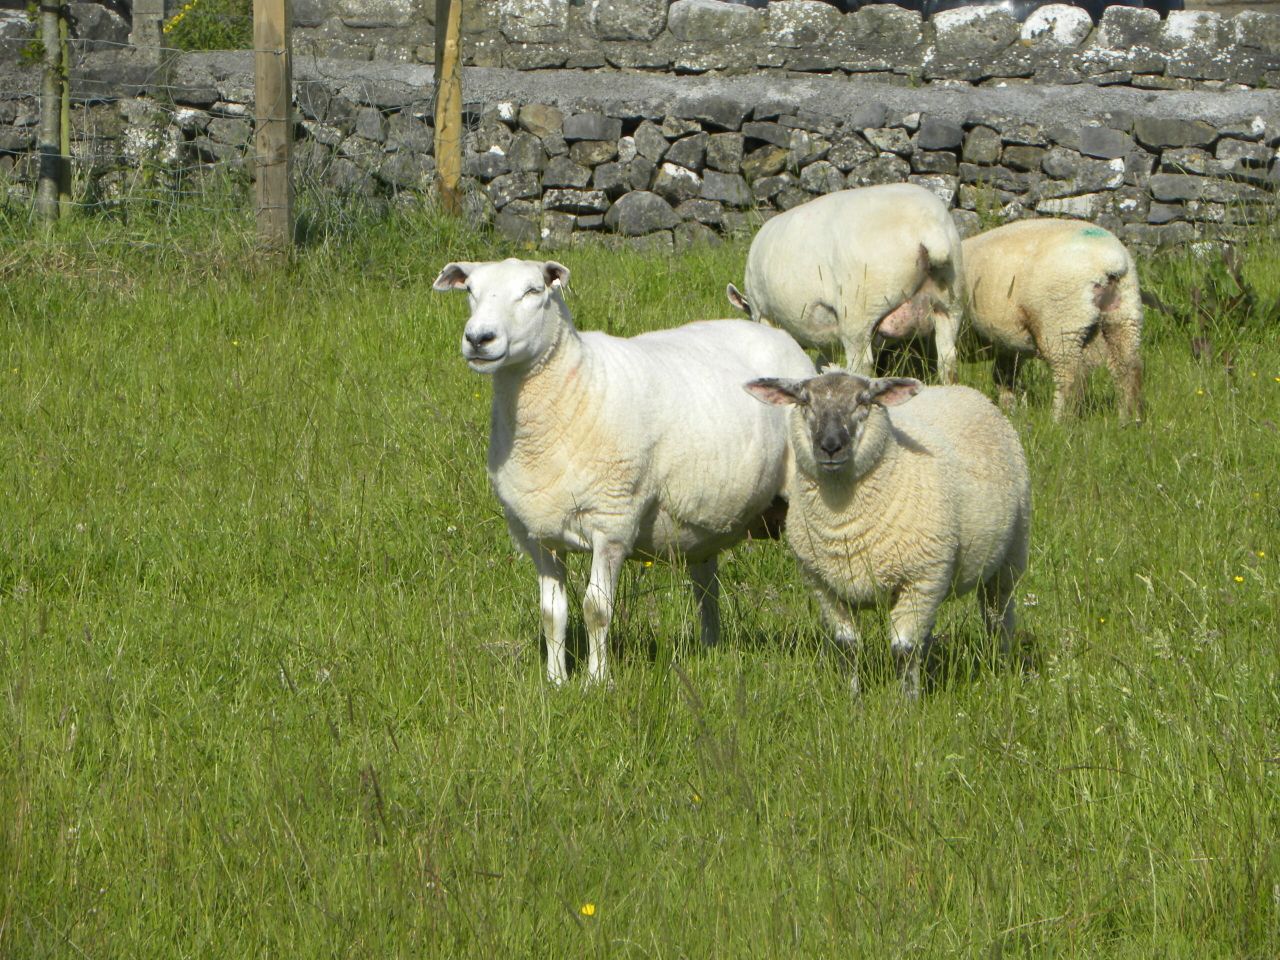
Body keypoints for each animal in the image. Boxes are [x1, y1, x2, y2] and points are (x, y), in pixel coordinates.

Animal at [434, 257, 816, 685]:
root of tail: (775, 334)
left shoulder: (612, 523)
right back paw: (710, 648)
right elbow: (552, 615)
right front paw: (555, 681)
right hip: (704, 520)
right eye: (470, 290)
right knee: (706, 586)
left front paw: (597, 683)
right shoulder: (538, 534)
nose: (479, 338)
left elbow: (596, 609)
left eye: (534, 290)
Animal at [726, 184, 966, 384]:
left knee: (861, 364)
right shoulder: (823, 334)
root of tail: (928, 228)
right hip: (950, 303)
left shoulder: (762, 313)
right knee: (948, 359)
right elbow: (823, 362)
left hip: (859, 312)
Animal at [745, 371, 1030, 698]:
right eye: (805, 402)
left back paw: (1001, 666)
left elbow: (904, 649)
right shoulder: (824, 586)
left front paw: (906, 703)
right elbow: (847, 646)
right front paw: (852, 698)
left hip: (1009, 554)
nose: (830, 446)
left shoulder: (920, 577)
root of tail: (965, 390)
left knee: (999, 617)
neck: (843, 523)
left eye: (863, 401)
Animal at [962, 218, 1144, 420]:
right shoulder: (1008, 343)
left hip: (1061, 321)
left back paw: (1059, 420)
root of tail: (1110, 261)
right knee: (1128, 367)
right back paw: (1129, 418)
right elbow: (1004, 376)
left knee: (1070, 375)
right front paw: (1008, 410)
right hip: (1124, 314)